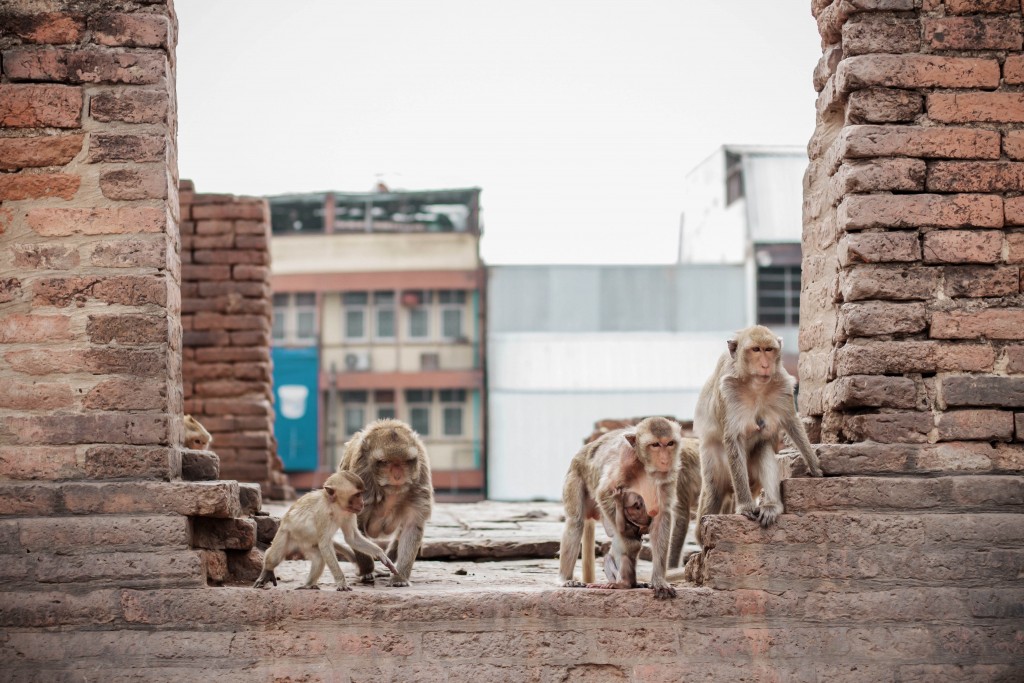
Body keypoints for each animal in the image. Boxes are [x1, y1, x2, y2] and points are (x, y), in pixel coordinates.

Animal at [253, 471, 397, 590]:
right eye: (357, 495)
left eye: (361, 494)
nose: (362, 503)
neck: (335, 505)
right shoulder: (323, 513)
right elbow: (325, 544)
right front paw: (341, 582)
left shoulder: (350, 513)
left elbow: (352, 538)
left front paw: (381, 555)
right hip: (285, 534)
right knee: (275, 556)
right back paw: (267, 570)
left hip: (308, 545)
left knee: (318, 558)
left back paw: (308, 585)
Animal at [338, 418, 433, 587]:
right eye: (385, 462)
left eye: (406, 461)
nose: (397, 475)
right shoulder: (361, 477)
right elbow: (356, 526)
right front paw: (367, 569)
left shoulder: (420, 476)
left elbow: (412, 525)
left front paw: (400, 577)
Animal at [558, 416, 682, 599]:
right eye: (655, 445)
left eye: (670, 443)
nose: (665, 459)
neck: (644, 465)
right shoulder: (626, 461)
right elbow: (604, 493)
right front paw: (631, 540)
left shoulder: (669, 475)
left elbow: (662, 514)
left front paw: (659, 580)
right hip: (575, 476)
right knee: (575, 522)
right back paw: (565, 579)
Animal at [692, 325, 823, 546]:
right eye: (755, 350)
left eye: (768, 350)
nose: (765, 365)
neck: (755, 385)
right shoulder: (728, 392)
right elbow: (733, 439)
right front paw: (745, 506)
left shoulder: (782, 385)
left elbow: (792, 423)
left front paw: (815, 467)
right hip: (714, 463)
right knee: (714, 492)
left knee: (763, 448)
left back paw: (771, 506)